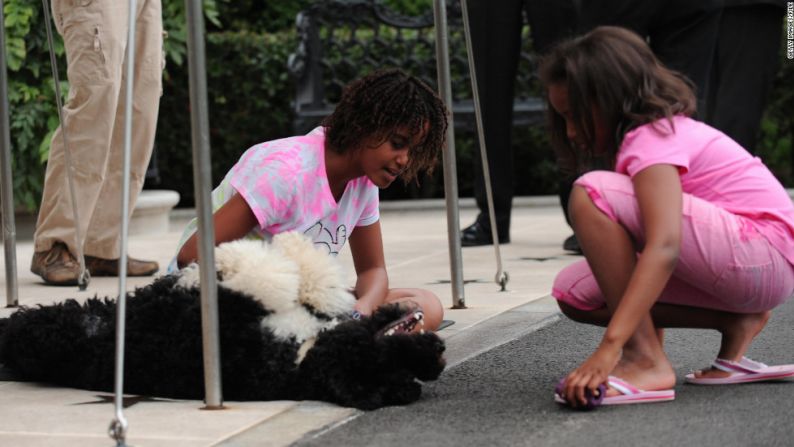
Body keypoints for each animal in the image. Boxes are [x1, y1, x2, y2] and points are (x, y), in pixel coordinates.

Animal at [0, 234, 446, 412]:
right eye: (403, 360)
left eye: (390, 364)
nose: (439, 350)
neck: (302, 357)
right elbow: (305, 281)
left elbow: (266, 277)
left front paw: (240, 257)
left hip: (50, 329)